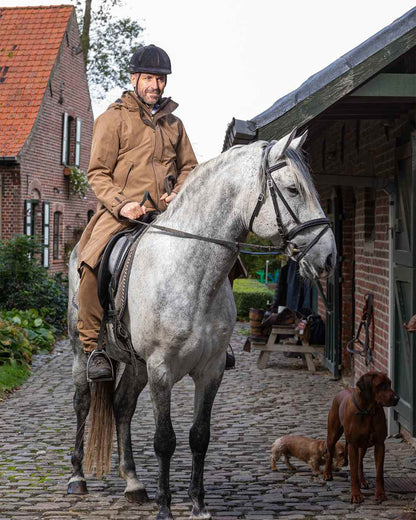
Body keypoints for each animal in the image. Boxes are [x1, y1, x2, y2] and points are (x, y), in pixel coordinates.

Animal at [66, 130, 336, 520]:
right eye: (293, 189)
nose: (328, 256)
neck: (192, 272)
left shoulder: (211, 369)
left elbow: (199, 436)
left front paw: (197, 504)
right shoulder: (161, 369)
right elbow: (165, 440)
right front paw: (166, 508)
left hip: (136, 365)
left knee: (122, 406)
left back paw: (133, 482)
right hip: (82, 352)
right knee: (83, 402)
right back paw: (78, 478)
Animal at [322, 374, 400, 504]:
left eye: (389, 383)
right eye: (381, 385)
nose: (397, 398)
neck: (368, 411)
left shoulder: (380, 444)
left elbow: (379, 473)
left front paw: (380, 493)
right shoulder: (352, 445)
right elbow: (353, 472)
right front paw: (356, 494)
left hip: (363, 445)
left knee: (360, 463)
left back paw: (362, 481)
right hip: (333, 434)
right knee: (329, 453)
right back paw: (327, 473)